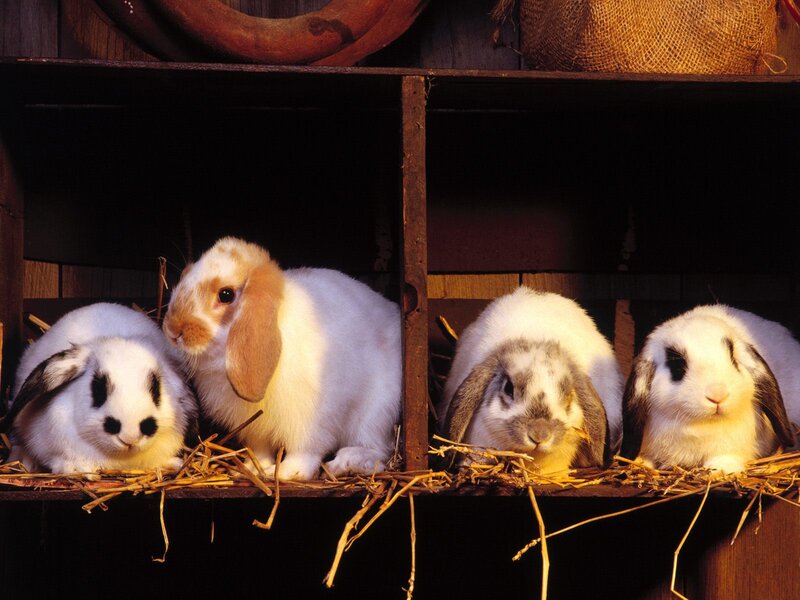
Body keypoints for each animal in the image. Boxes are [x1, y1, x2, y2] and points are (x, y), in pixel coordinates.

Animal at [161, 236, 402, 481]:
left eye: (225, 294)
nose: (172, 329)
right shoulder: (255, 429)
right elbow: (260, 450)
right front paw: (254, 468)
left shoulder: (311, 422)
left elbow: (305, 451)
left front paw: (288, 472)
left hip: (376, 413)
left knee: (377, 450)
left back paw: (345, 463)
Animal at [620, 304, 800, 475]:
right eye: (677, 366)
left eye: (733, 359)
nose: (718, 395)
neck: (702, 425)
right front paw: (639, 463)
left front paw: (719, 471)